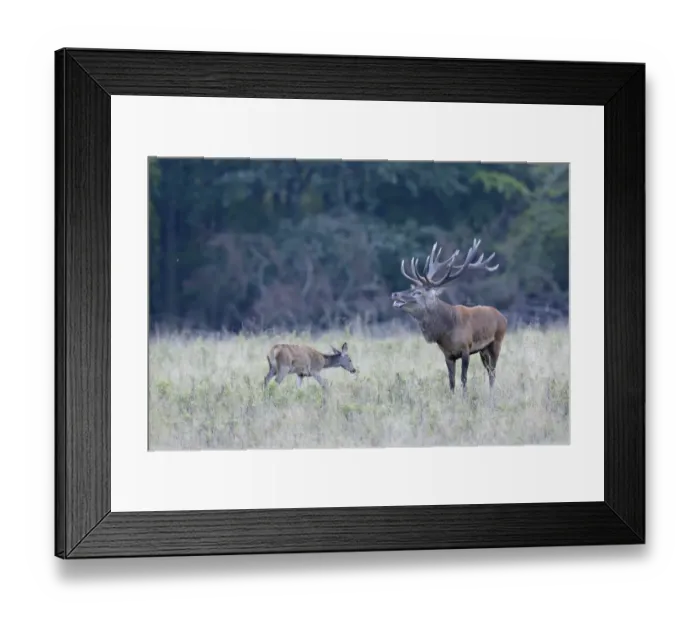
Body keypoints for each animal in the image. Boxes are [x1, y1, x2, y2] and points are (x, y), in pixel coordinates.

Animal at [390, 239, 507, 401]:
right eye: (411, 288)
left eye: (417, 292)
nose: (395, 294)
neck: (446, 331)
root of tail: (503, 317)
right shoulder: (448, 354)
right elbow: (451, 381)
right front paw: (452, 399)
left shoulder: (466, 348)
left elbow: (463, 378)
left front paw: (464, 399)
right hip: (483, 350)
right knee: (489, 369)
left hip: (496, 342)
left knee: (492, 372)